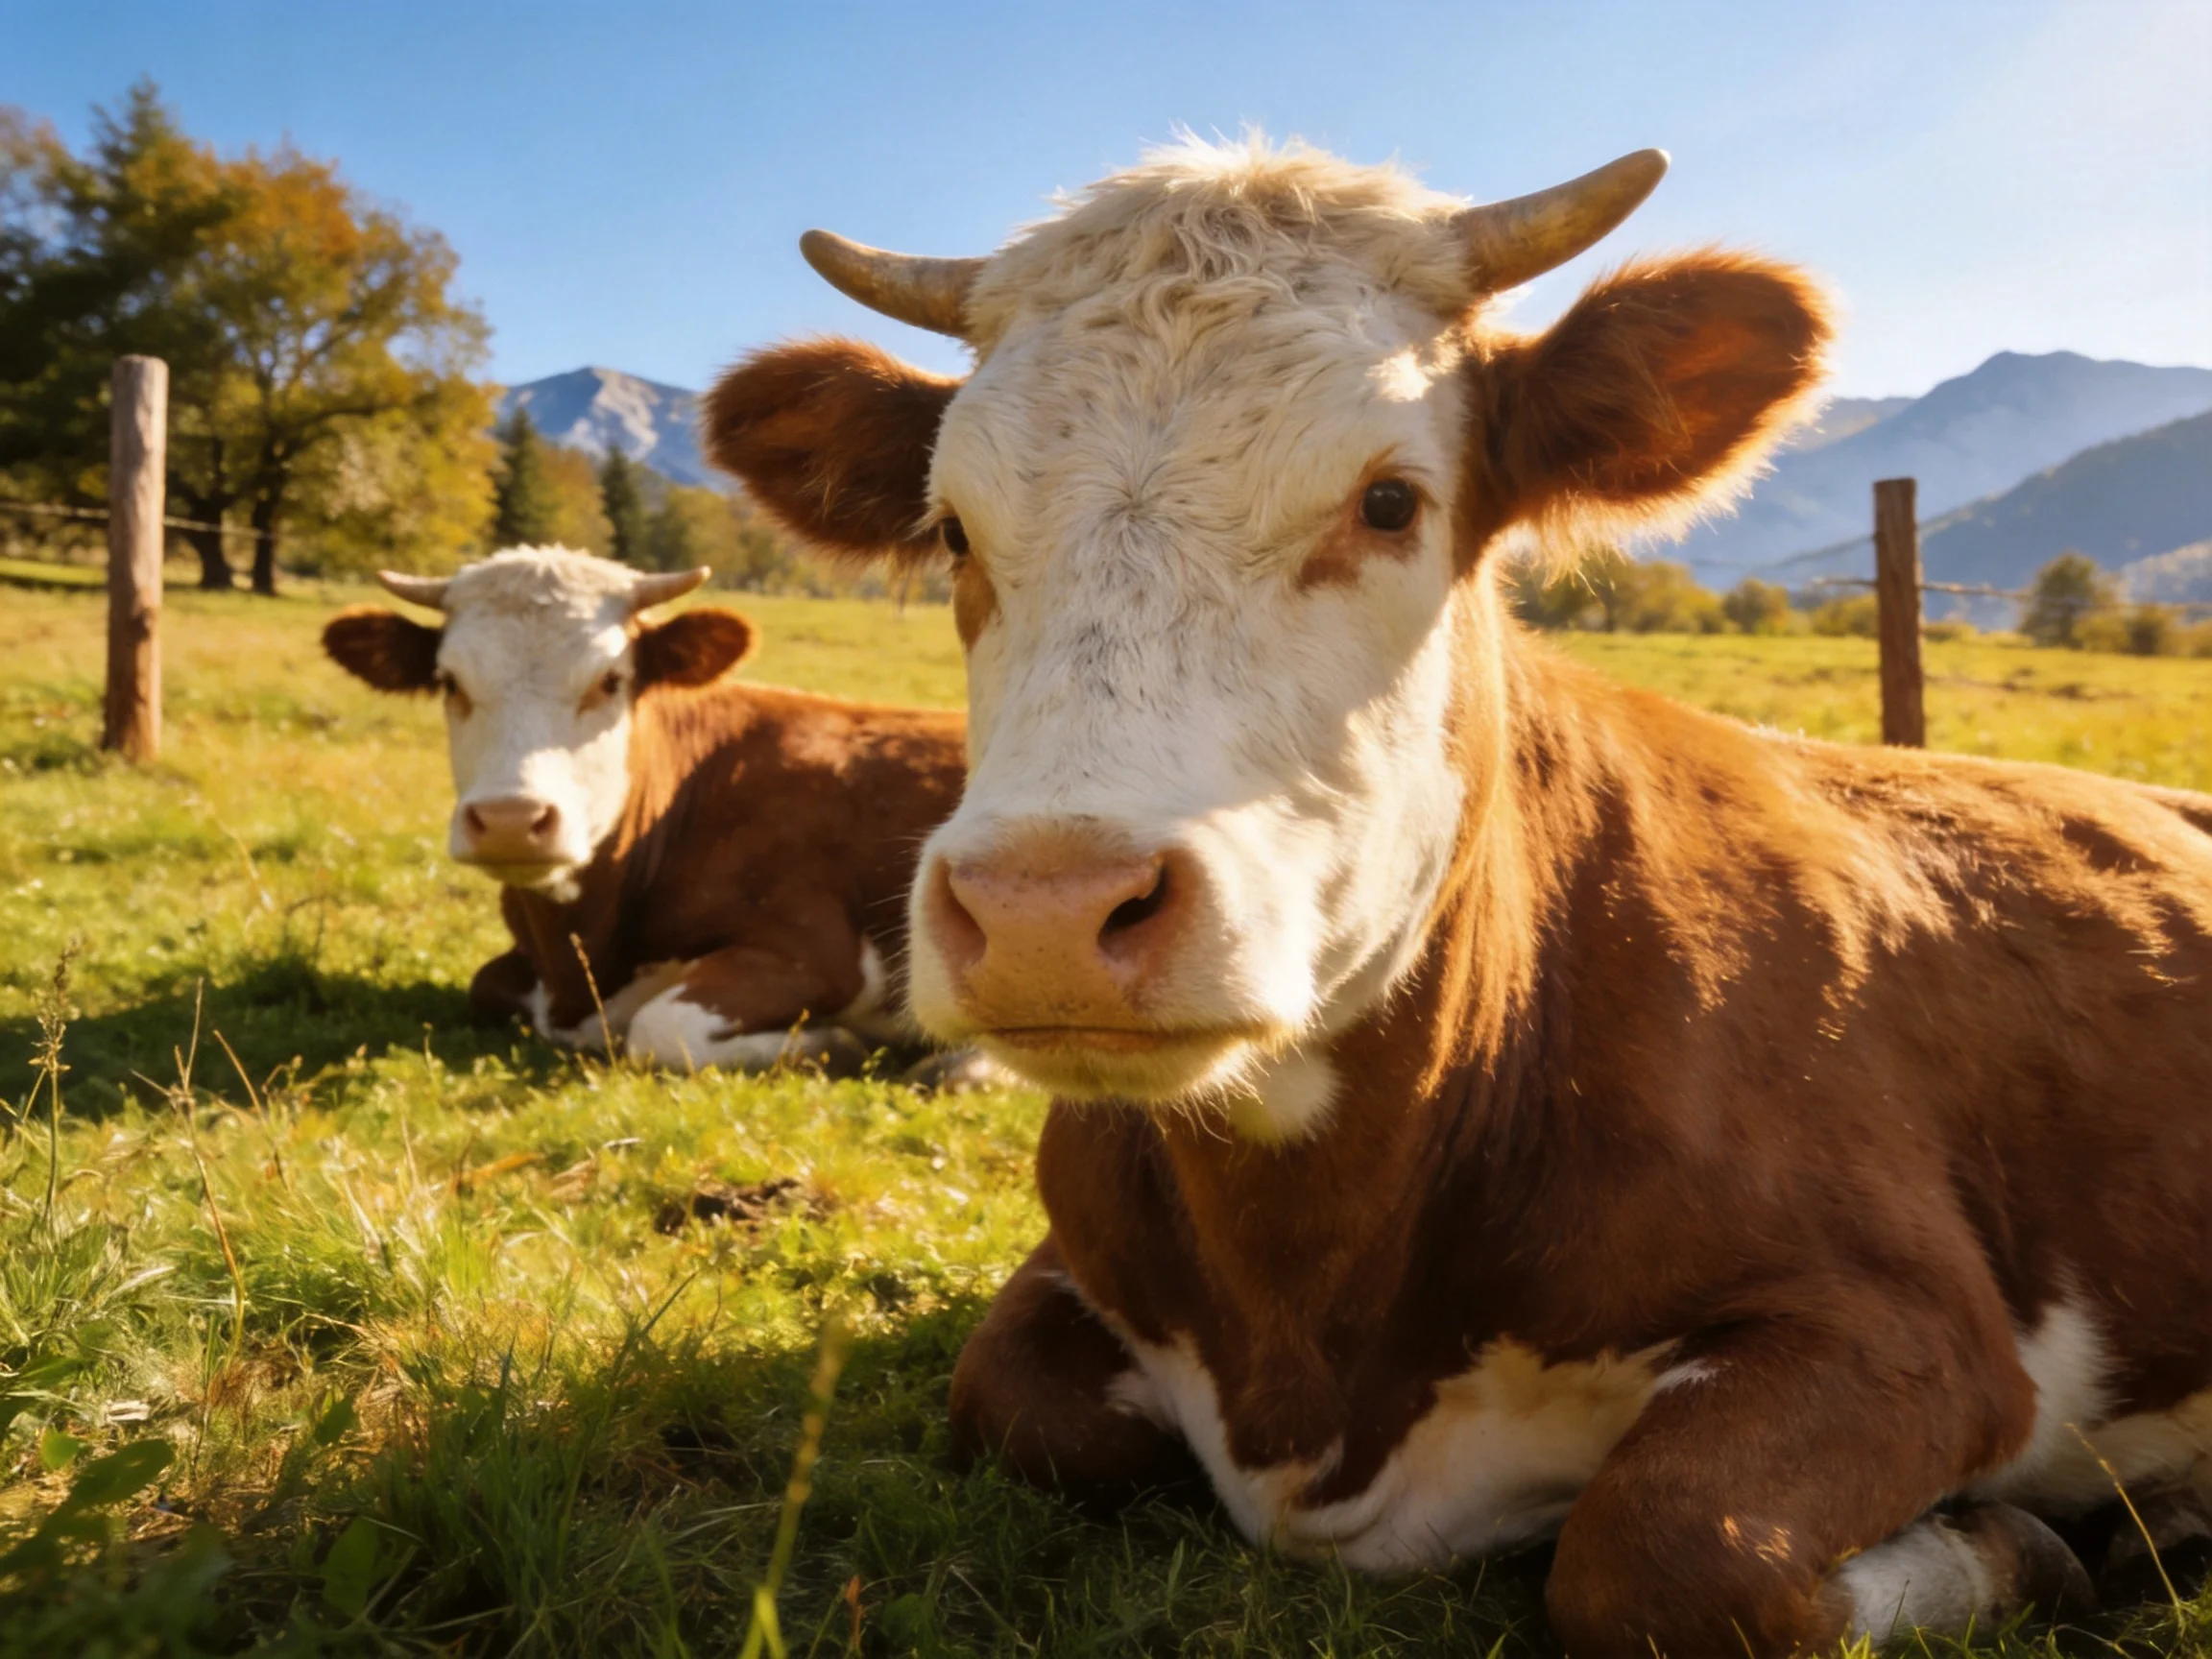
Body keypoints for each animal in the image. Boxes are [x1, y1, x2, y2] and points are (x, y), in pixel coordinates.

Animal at [321, 548, 968, 1074]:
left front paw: (833, 1044)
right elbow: (487, 985)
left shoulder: (815, 947)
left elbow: (658, 1029)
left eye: (611, 680)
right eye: (449, 681)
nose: (511, 820)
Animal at [698, 137, 2212, 1656]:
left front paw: (2017, 1547)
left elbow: (1666, 1548)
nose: (1045, 909)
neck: (1308, 1327)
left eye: (1389, 500)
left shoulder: (1916, 1324)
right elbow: (1008, 1401)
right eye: (954, 529)